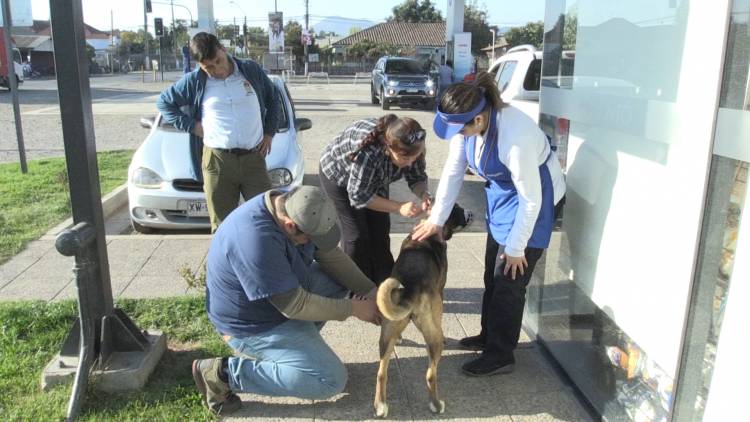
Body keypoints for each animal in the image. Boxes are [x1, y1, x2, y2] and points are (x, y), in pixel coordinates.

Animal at [374, 203, 472, 418]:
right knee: (430, 374)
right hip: (433, 337)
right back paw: (436, 404)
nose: (471, 213)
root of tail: (410, 287)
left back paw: (381, 406)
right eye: (458, 210)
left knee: (381, 373)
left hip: (386, 334)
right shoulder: (440, 292)